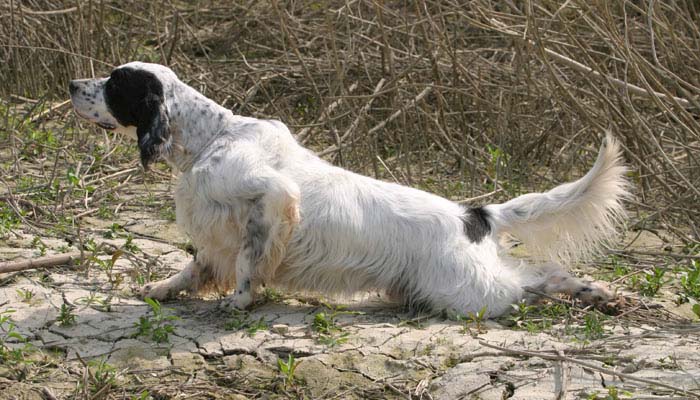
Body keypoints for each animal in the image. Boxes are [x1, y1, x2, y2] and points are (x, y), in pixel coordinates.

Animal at [69, 62, 628, 318]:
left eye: (115, 83)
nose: (73, 85)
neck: (210, 139)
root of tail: (473, 214)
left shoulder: (270, 197)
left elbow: (250, 262)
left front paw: (240, 301)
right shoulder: (216, 231)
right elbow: (195, 267)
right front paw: (163, 289)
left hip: (465, 292)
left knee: (536, 279)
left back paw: (595, 292)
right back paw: (596, 293)